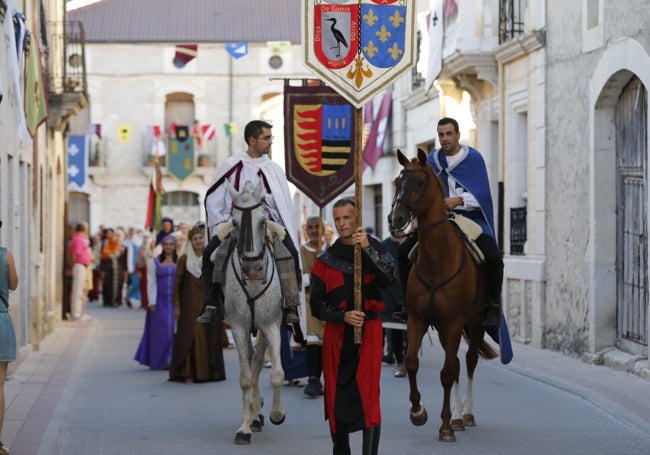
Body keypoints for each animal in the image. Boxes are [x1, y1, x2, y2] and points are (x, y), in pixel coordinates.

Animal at [390, 149, 496, 442]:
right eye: (397, 181)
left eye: (419, 182)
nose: (396, 219)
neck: (438, 259)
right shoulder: (418, 319)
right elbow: (411, 361)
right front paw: (418, 412)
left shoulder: (455, 321)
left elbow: (448, 373)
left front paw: (446, 426)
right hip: (443, 328)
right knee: (459, 363)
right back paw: (459, 415)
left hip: (475, 323)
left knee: (468, 361)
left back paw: (465, 414)